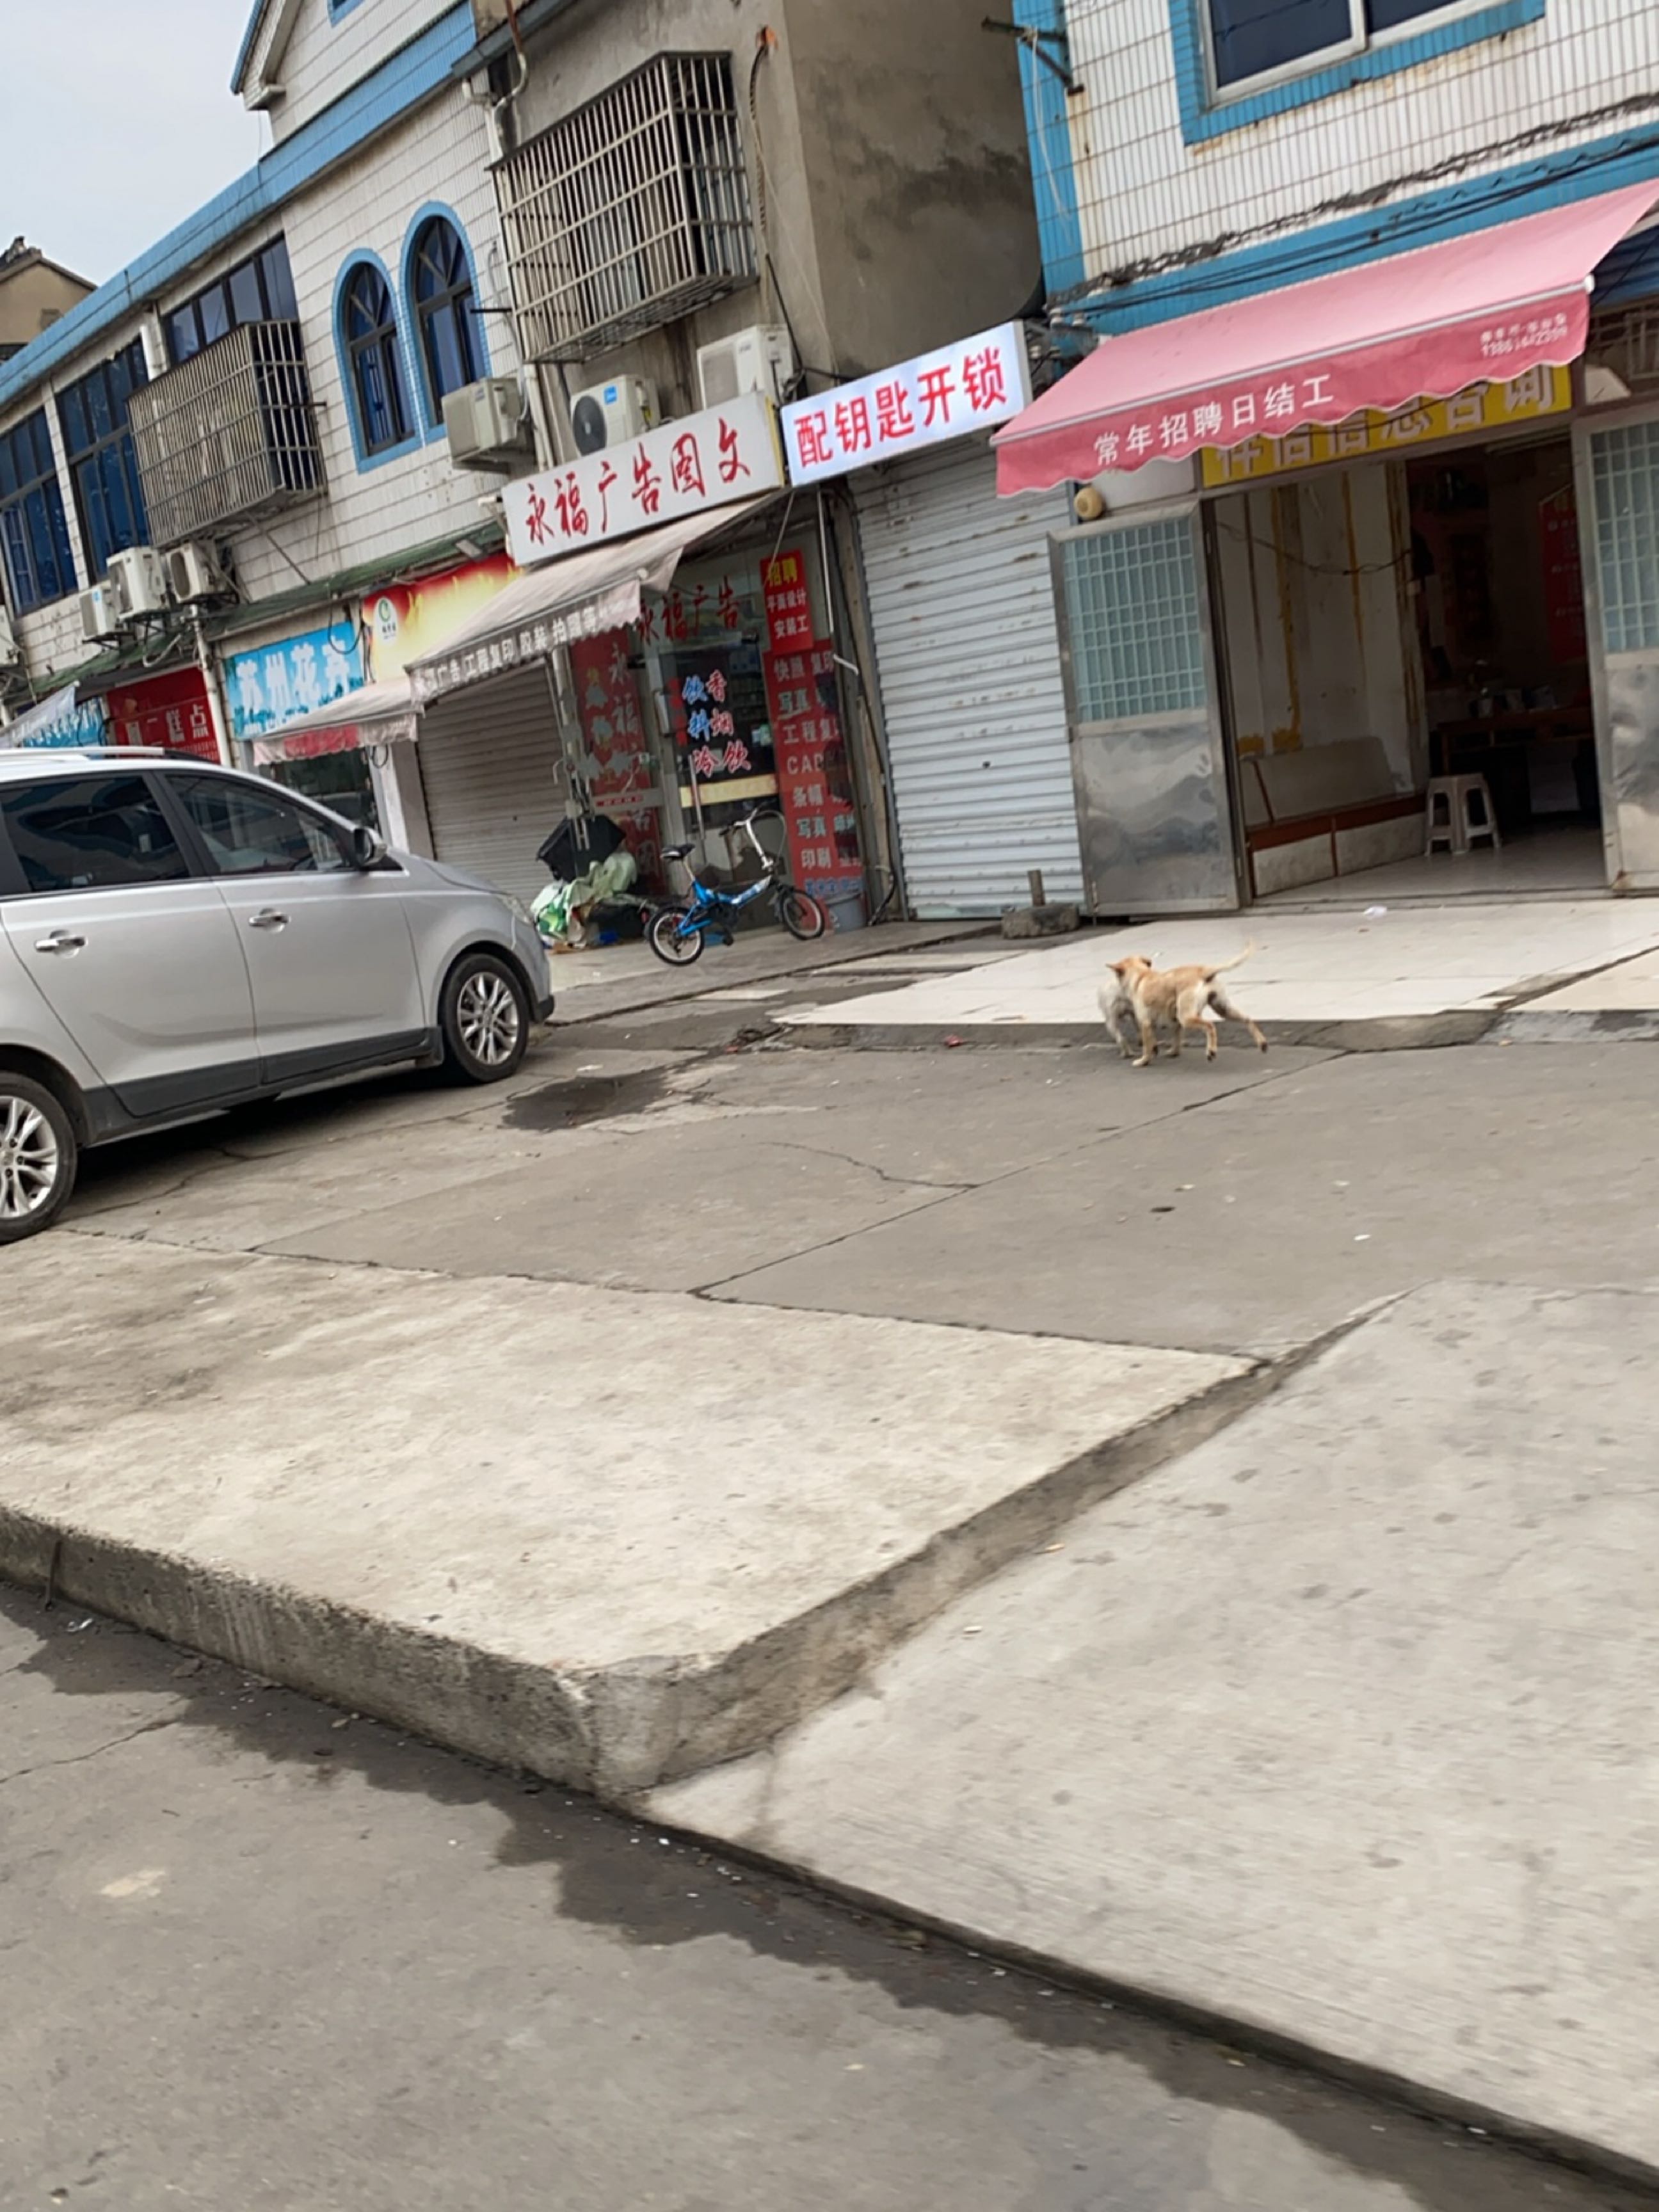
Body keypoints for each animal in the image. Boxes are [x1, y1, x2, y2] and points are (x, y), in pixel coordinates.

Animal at [1110, 942, 1265, 1061]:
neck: (1141, 976)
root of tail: (1203, 971)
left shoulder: (1145, 1023)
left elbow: (1147, 1047)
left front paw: (1143, 1061)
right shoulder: (1175, 1022)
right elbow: (1175, 1039)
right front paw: (1172, 1052)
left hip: (1188, 1018)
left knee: (1210, 1026)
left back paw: (1211, 1051)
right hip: (1223, 1009)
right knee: (1247, 1019)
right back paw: (1262, 1043)